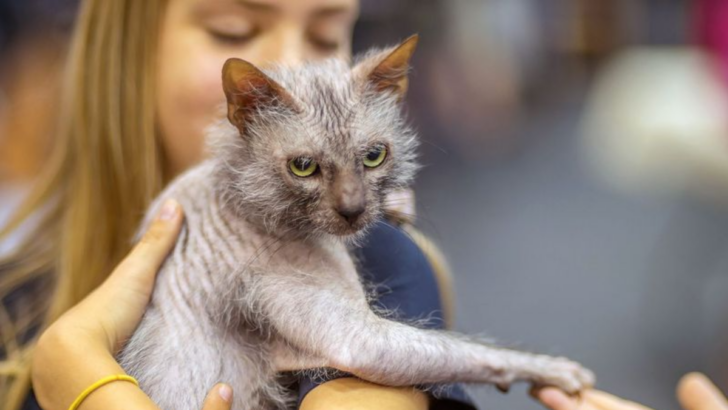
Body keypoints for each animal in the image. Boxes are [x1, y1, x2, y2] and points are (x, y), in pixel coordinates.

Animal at [119, 35, 596, 410]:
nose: (353, 210)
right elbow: (472, 350)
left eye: (374, 156)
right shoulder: (356, 339)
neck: (235, 192)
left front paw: (397, 206)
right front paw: (554, 369)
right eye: (304, 167)